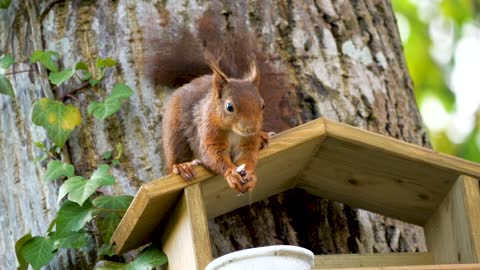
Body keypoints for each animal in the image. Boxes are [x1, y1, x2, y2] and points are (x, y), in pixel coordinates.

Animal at [159, 52, 268, 192]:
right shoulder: (209, 131)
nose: (252, 129)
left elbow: (247, 156)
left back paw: (264, 138)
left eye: (263, 105)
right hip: (175, 131)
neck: (232, 131)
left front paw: (250, 175)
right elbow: (213, 155)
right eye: (229, 107)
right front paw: (232, 174)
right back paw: (183, 167)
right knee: (175, 157)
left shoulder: (248, 141)